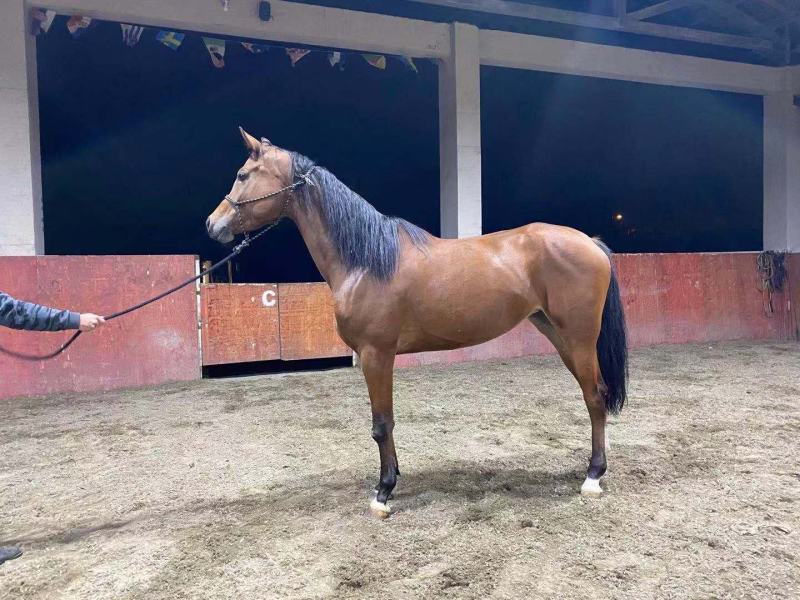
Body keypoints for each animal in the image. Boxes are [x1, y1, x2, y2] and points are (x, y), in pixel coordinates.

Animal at [206, 128, 628, 518]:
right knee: (595, 395)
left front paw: (383, 493)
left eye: (243, 174)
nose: (213, 224)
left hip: (578, 338)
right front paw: (391, 480)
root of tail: (590, 242)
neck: (367, 259)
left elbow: (381, 424)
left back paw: (592, 477)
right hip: (559, 335)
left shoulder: (376, 354)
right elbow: (386, 423)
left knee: (594, 397)